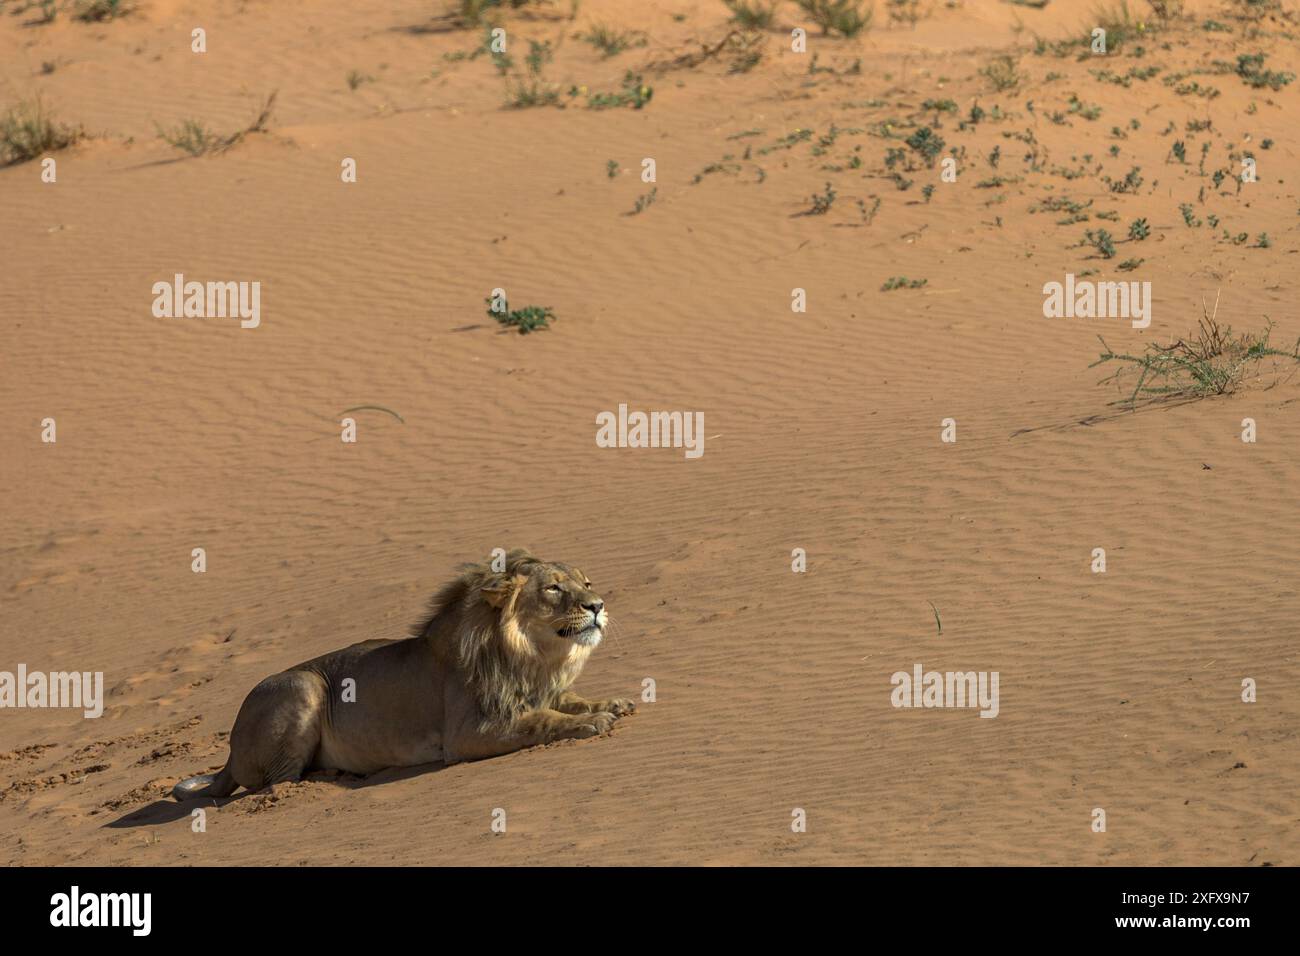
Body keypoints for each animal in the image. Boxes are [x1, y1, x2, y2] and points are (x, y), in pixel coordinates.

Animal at [172, 549, 634, 800]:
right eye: (554, 588)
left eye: (586, 582)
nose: (598, 605)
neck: (533, 658)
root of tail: (229, 752)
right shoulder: (468, 733)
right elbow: (542, 721)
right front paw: (594, 721)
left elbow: (569, 701)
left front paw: (613, 702)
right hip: (303, 686)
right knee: (276, 782)